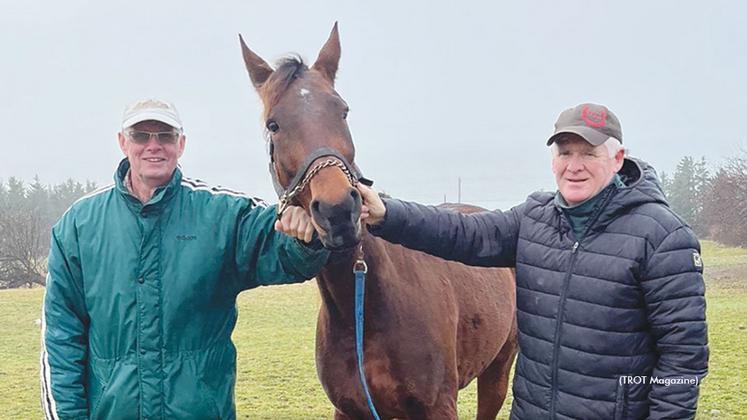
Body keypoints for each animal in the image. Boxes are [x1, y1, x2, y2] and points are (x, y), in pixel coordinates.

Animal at [241, 24, 520, 420]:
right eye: (273, 124)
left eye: (342, 111)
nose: (338, 210)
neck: (364, 310)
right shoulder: (350, 409)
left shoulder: (438, 406)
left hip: (498, 369)